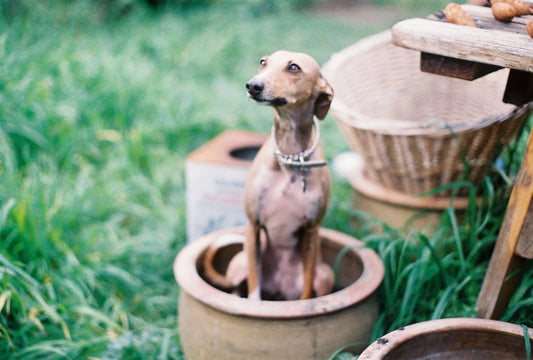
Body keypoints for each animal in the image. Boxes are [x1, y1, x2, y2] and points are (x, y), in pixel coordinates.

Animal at [204, 50, 332, 300]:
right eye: (263, 62)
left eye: (294, 67)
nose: (253, 85)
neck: (290, 158)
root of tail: (280, 290)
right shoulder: (253, 227)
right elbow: (254, 292)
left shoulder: (312, 232)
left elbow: (306, 295)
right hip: (240, 263)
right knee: (237, 289)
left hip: (325, 275)